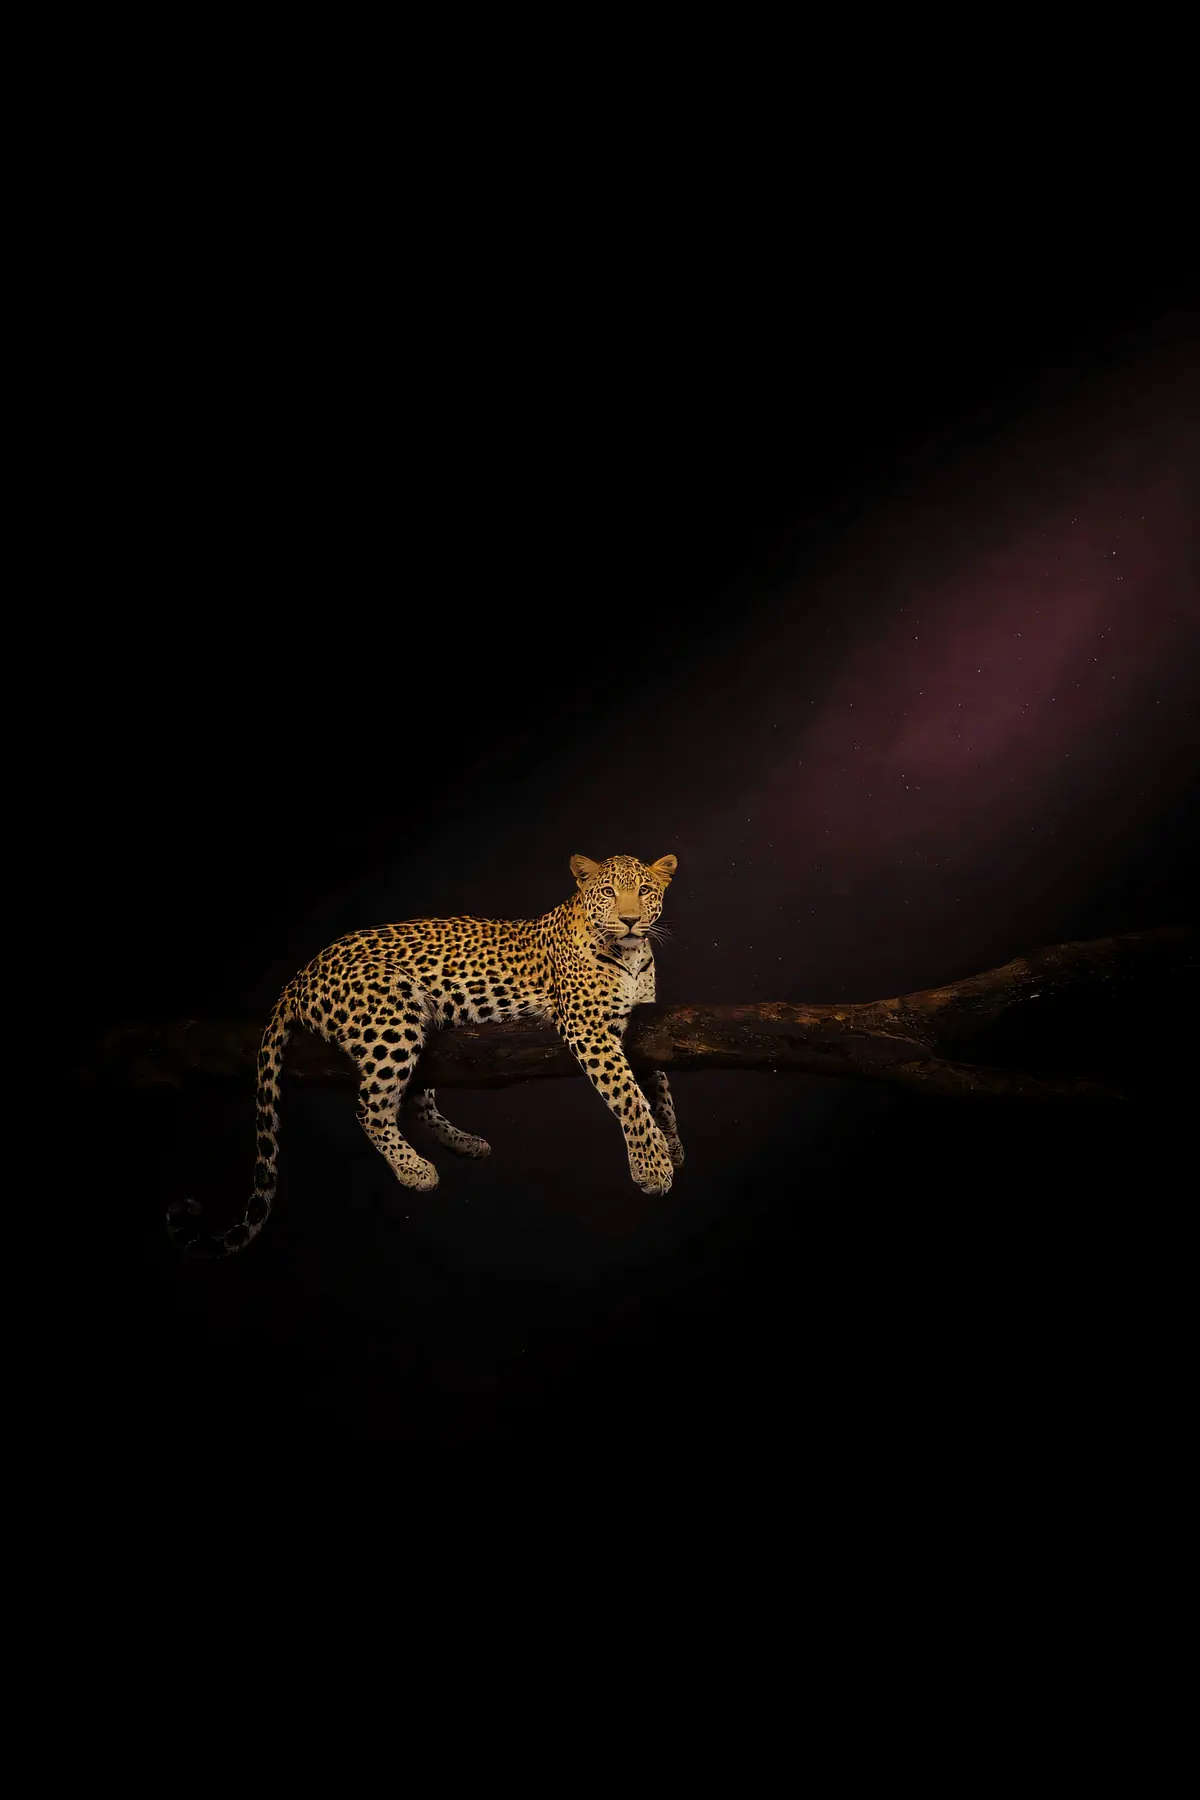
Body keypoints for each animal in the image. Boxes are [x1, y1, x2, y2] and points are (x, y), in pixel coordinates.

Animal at [167, 853, 684, 1257]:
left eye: (643, 890)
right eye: (608, 893)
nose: (631, 920)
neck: (631, 955)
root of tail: (303, 971)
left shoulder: (646, 1026)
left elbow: (659, 1088)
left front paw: (673, 1146)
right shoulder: (588, 1027)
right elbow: (629, 1096)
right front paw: (651, 1166)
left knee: (416, 1099)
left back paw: (467, 1144)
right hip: (392, 1018)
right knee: (371, 1107)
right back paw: (416, 1171)